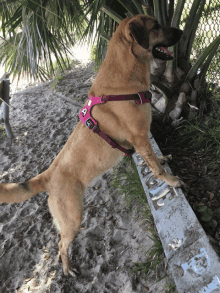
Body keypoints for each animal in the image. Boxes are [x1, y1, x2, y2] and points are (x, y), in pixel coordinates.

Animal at [0, 14, 183, 274]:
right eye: (155, 26)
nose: (181, 32)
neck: (124, 76)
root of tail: (47, 175)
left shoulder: (143, 139)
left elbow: (153, 160)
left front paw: (162, 158)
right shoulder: (139, 138)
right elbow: (155, 169)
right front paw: (170, 180)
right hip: (73, 218)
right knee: (61, 244)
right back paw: (68, 267)